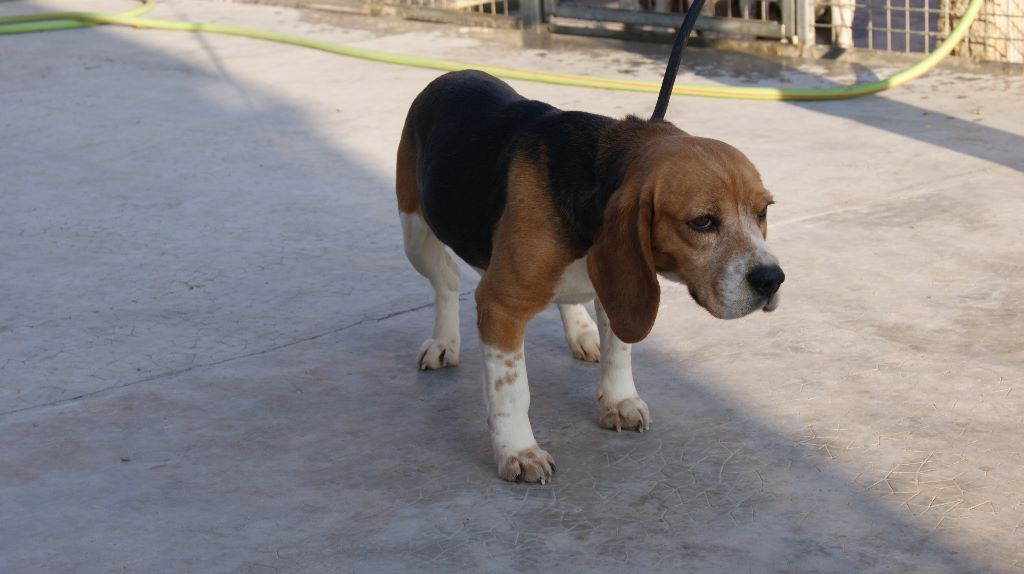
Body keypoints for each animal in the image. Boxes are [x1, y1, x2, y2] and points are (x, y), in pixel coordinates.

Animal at [395, 71, 778, 482]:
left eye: (763, 212)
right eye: (703, 222)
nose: (772, 279)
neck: (594, 175)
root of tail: (451, 75)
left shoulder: (620, 285)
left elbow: (619, 349)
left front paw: (619, 399)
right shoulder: (500, 305)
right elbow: (512, 389)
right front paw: (518, 450)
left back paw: (581, 333)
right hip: (415, 234)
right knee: (447, 278)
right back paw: (443, 341)